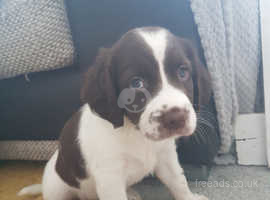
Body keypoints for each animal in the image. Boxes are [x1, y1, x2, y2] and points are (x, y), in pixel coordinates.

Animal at [18, 27, 211, 200]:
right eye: (136, 83)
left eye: (183, 72)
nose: (176, 118)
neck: (136, 133)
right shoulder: (110, 176)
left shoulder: (165, 156)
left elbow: (178, 182)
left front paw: (190, 197)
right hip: (58, 188)